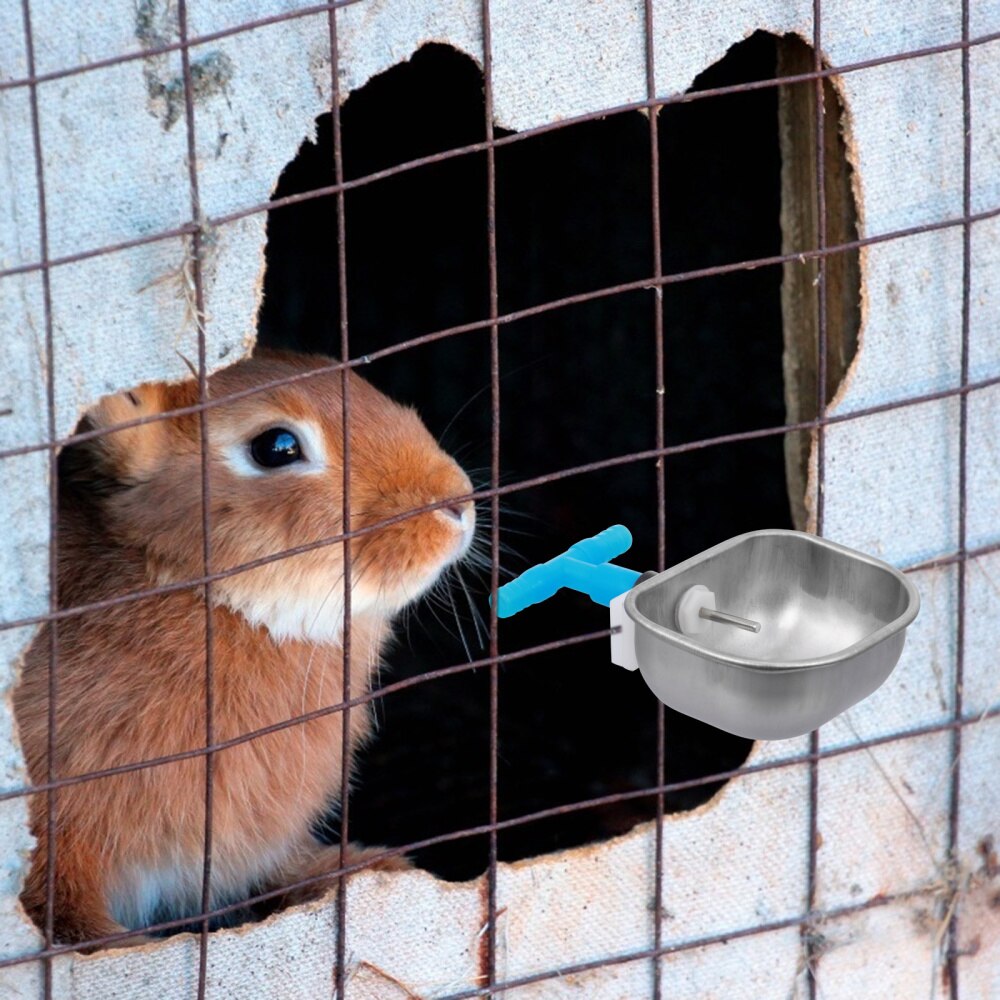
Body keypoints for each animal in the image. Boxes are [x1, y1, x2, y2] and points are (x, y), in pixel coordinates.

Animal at [13, 350, 476, 949]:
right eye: (276, 447)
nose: (458, 504)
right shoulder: (62, 833)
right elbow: (70, 913)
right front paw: (122, 948)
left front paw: (369, 869)